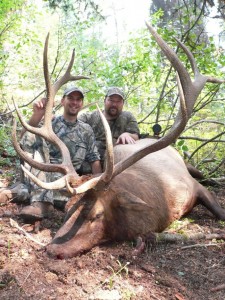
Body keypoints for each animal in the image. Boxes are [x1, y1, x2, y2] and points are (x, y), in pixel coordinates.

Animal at [11, 22, 225, 258]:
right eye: (67, 209)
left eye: (96, 215)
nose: (53, 249)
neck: (162, 208)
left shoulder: (193, 186)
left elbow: (220, 212)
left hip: (187, 165)